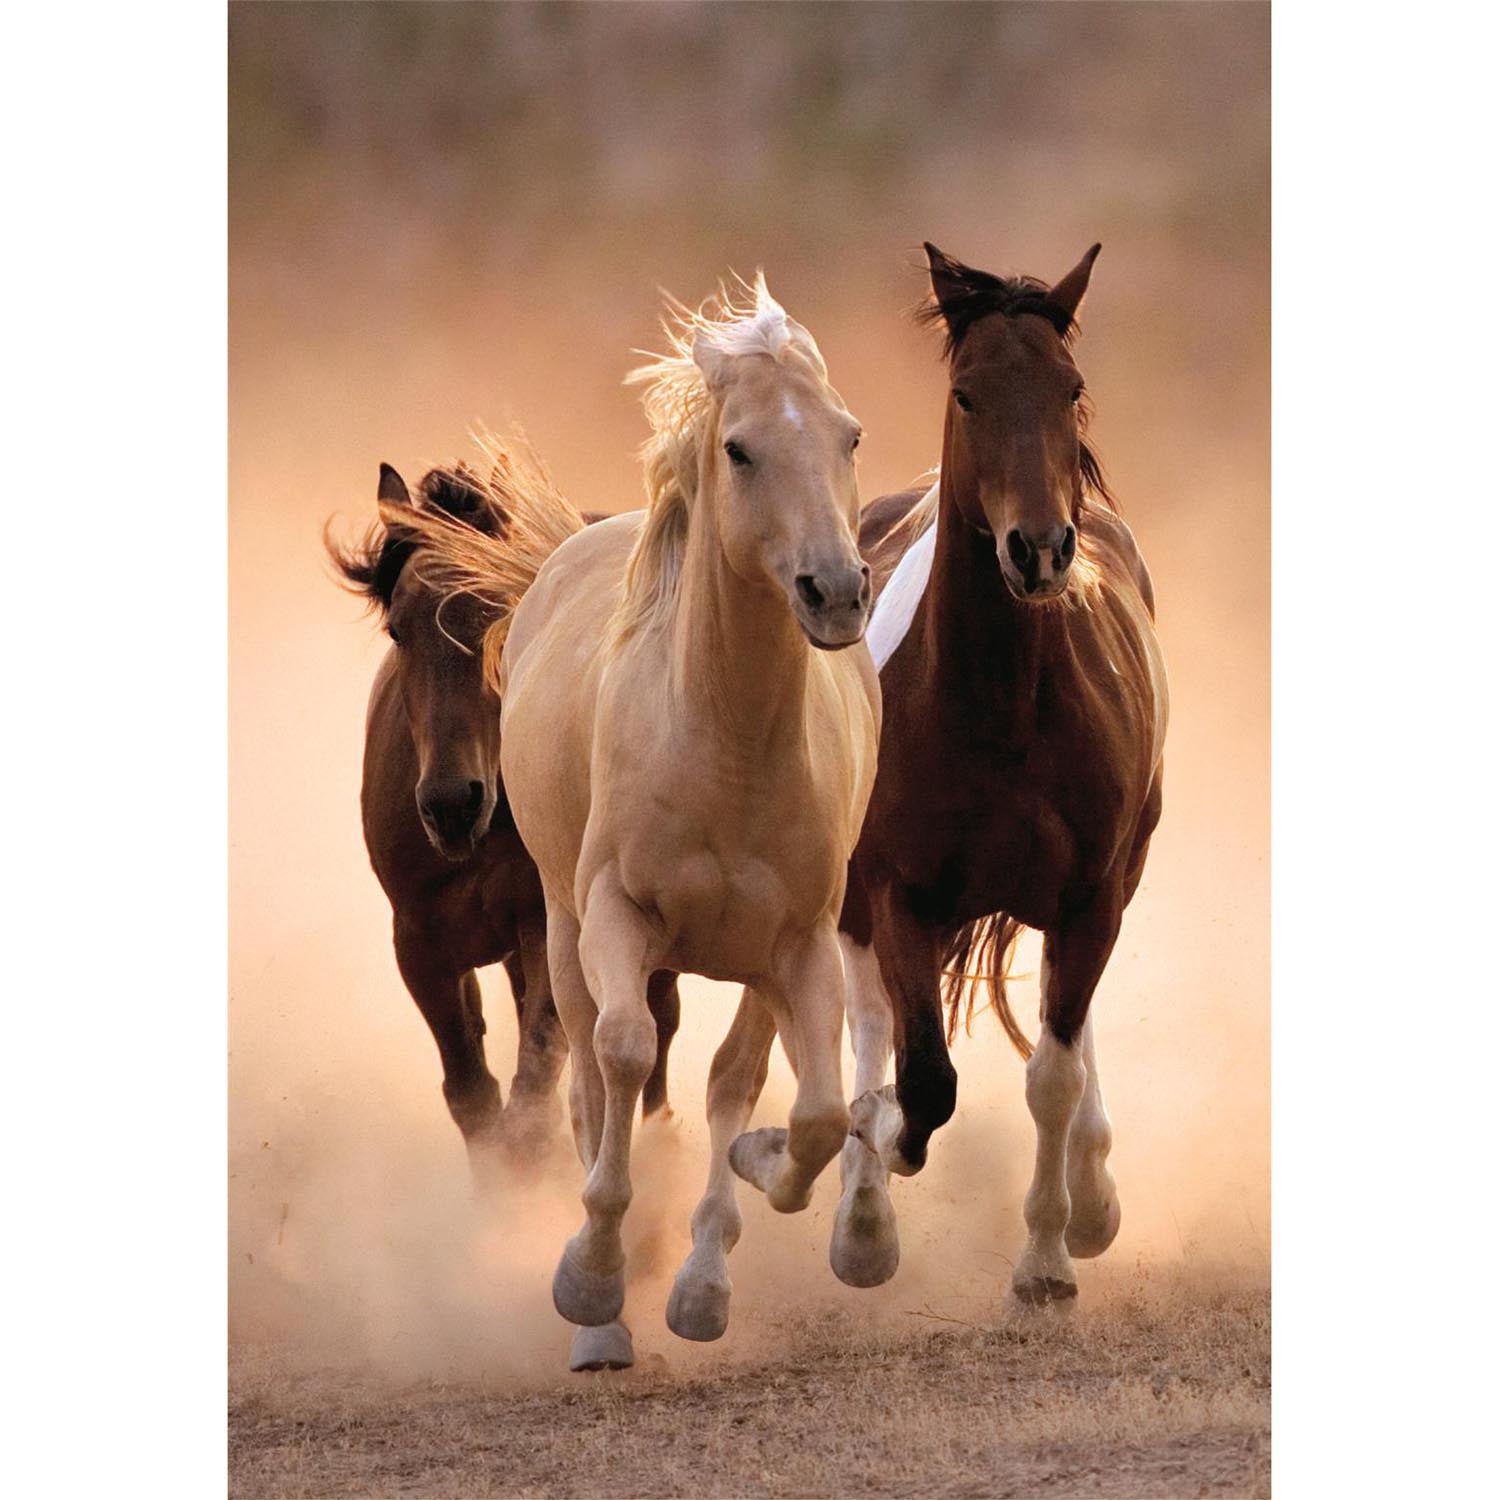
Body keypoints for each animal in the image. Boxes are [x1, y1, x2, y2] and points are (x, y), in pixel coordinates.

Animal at [326, 455, 682, 1204]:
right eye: (398, 629)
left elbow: (535, 1086)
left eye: (500, 615)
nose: (451, 804)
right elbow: (473, 1094)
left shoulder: (545, 925)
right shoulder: (420, 945)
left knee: (658, 1028)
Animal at [398, 277, 879, 1370]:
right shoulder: (615, 917)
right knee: (588, 1074)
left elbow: (807, 1110)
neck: (723, 744)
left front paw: (742, 1201)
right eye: (739, 448)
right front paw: (592, 1281)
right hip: (561, 928)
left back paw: (699, 1269)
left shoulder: (799, 944)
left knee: (731, 1078)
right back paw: (605, 1313)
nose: (836, 592)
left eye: (849, 435)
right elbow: (620, 1058)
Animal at [825, 243, 1169, 1305]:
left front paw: (1051, 1257)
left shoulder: (1091, 894)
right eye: (967, 393)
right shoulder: (898, 892)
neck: (1002, 706)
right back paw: (861, 1218)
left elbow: (1053, 1072)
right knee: (867, 1019)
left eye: (1071, 388)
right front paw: (880, 1147)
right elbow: (922, 1077)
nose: (1041, 549)